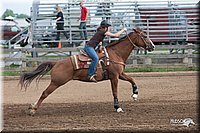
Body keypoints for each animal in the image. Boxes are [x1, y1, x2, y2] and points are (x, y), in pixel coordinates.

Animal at [19, 27, 155, 115]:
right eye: (144, 36)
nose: (152, 46)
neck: (116, 53)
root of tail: (57, 63)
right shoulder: (114, 77)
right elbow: (115, 91)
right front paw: (118, 108)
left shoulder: (120, 74)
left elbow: (132, 80)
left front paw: (135, 95)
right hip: (56, 82)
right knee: (44, 93)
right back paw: (33, 109)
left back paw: (32, 106)